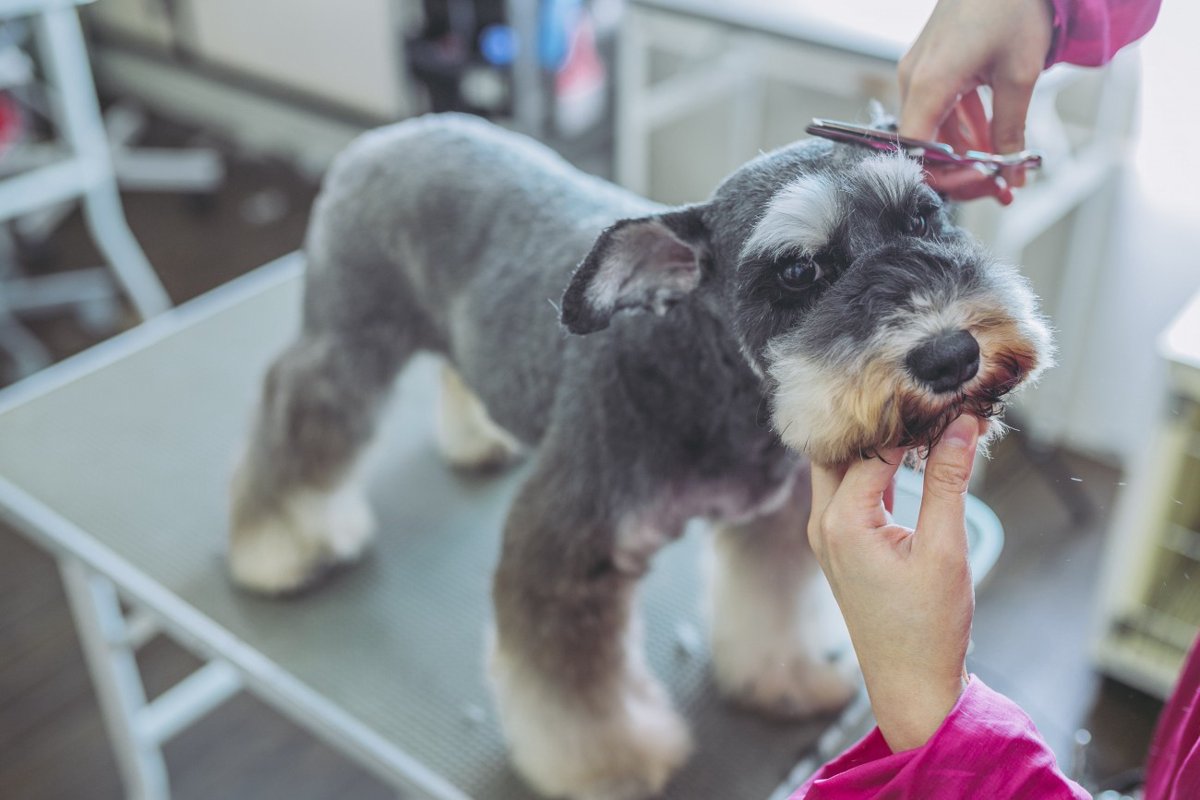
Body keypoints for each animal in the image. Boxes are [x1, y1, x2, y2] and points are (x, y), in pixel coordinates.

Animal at [226, 112, 1051, 800]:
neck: (708, 381)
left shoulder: (775, 521)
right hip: (350, 336)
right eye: (796, 271)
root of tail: (391, 133)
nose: (951, 355)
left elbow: (773, 607)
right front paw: (605, 766)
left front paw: (783, 680)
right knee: (300, 407)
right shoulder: (568, 547)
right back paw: (278, 546)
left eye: (925, 217)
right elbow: (573, 689)